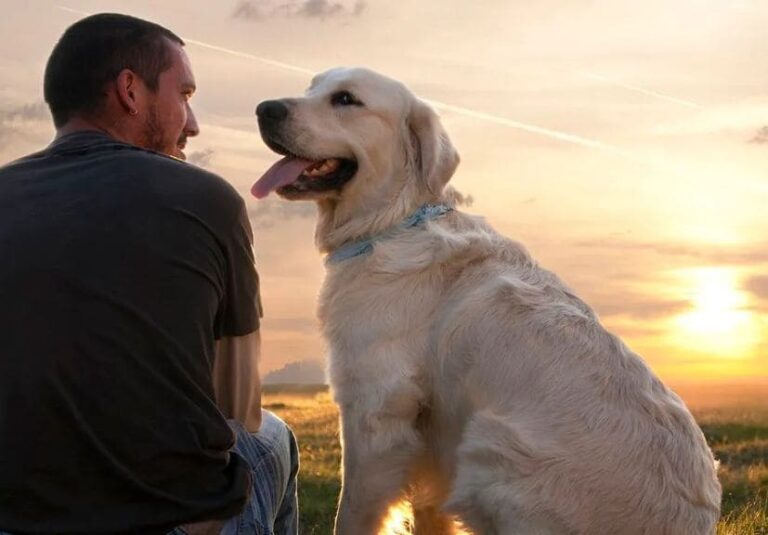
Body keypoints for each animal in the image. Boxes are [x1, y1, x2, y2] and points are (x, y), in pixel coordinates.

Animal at [250, 68, 720, 535]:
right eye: (311, 87)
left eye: (346, 99)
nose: (264, 109)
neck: (392, 223)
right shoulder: (430, 439)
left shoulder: (375, 410)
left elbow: (352, 512)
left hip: (488, 446)